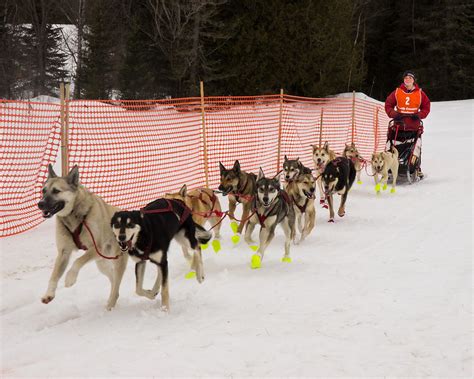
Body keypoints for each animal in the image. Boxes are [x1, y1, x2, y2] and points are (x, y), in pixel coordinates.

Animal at [38, 166, 128, 312]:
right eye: (43, 191)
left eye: (56, 191)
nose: (40, 204)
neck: (74, 215)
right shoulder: (63, 253)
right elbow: (54, 276)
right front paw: (49, 294)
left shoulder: (95, 248)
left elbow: (77, 261)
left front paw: (70, 278)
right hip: (102, 263)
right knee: (114, 280)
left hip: (116, 261)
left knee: (116, 284)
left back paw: (110, 305)